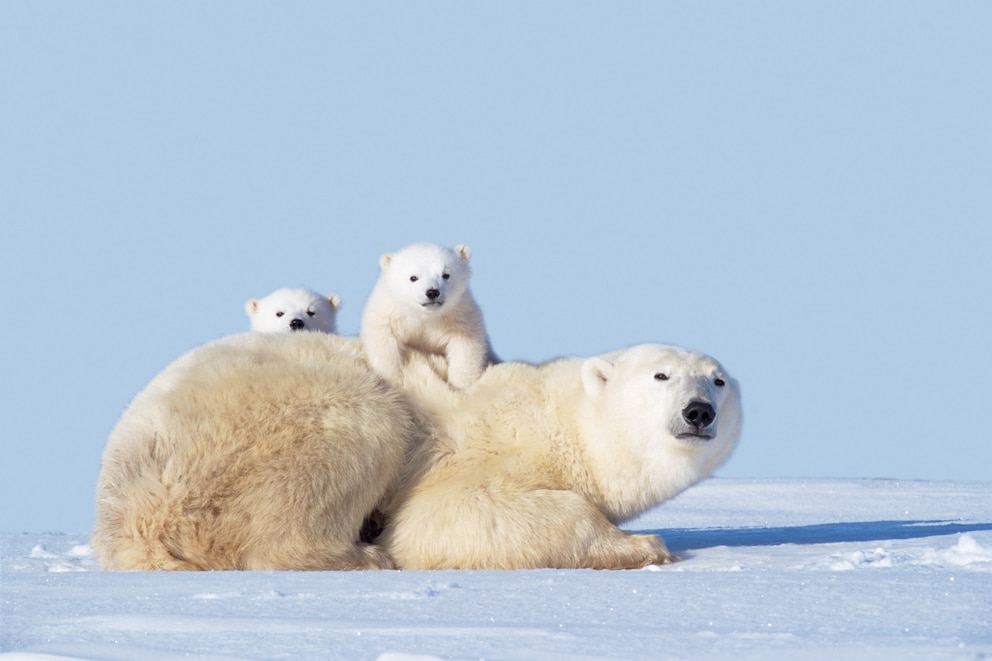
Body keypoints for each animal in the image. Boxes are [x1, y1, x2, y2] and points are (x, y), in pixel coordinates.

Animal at [360, 241, 496, 386]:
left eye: (446, 275)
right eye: (413, 277)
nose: (432, 292)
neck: (426, 316)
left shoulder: (459, 315)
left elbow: (466, 347)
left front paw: (461, 384)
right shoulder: (389, 313)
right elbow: (383, 342)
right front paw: (392, 379)